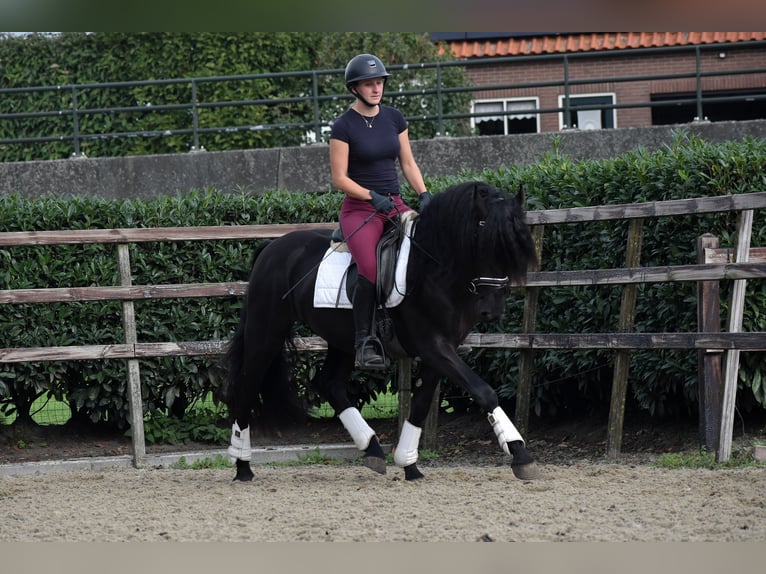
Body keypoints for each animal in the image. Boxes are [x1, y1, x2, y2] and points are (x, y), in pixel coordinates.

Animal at [225, 182, 544, 484]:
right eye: (482, 240)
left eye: (515, 246)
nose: (492, 311)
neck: (433, 269)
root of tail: (271, 248)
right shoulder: (432, 345)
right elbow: (484, 392)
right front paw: (521, 455)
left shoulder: (442, 349)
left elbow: (421, 404)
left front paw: (409, 464)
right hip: (266, 332)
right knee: (246, 386)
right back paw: (242, 465)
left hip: (343, 339)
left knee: (329, 384)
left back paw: (373, 449)